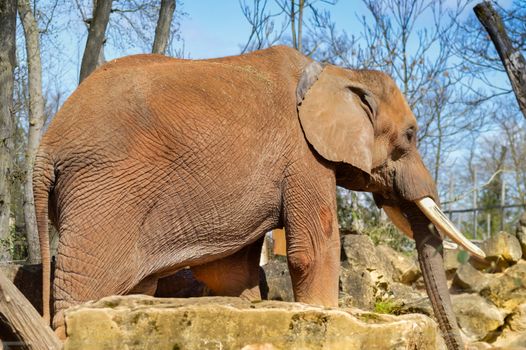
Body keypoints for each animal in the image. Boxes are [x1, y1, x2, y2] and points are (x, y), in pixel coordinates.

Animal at [34, 45, 486, 348]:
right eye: (410, 135)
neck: (332, 71)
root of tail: (46, 148)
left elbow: (230, 273)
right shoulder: (304, 155)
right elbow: (314, 250)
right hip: (106, 193)